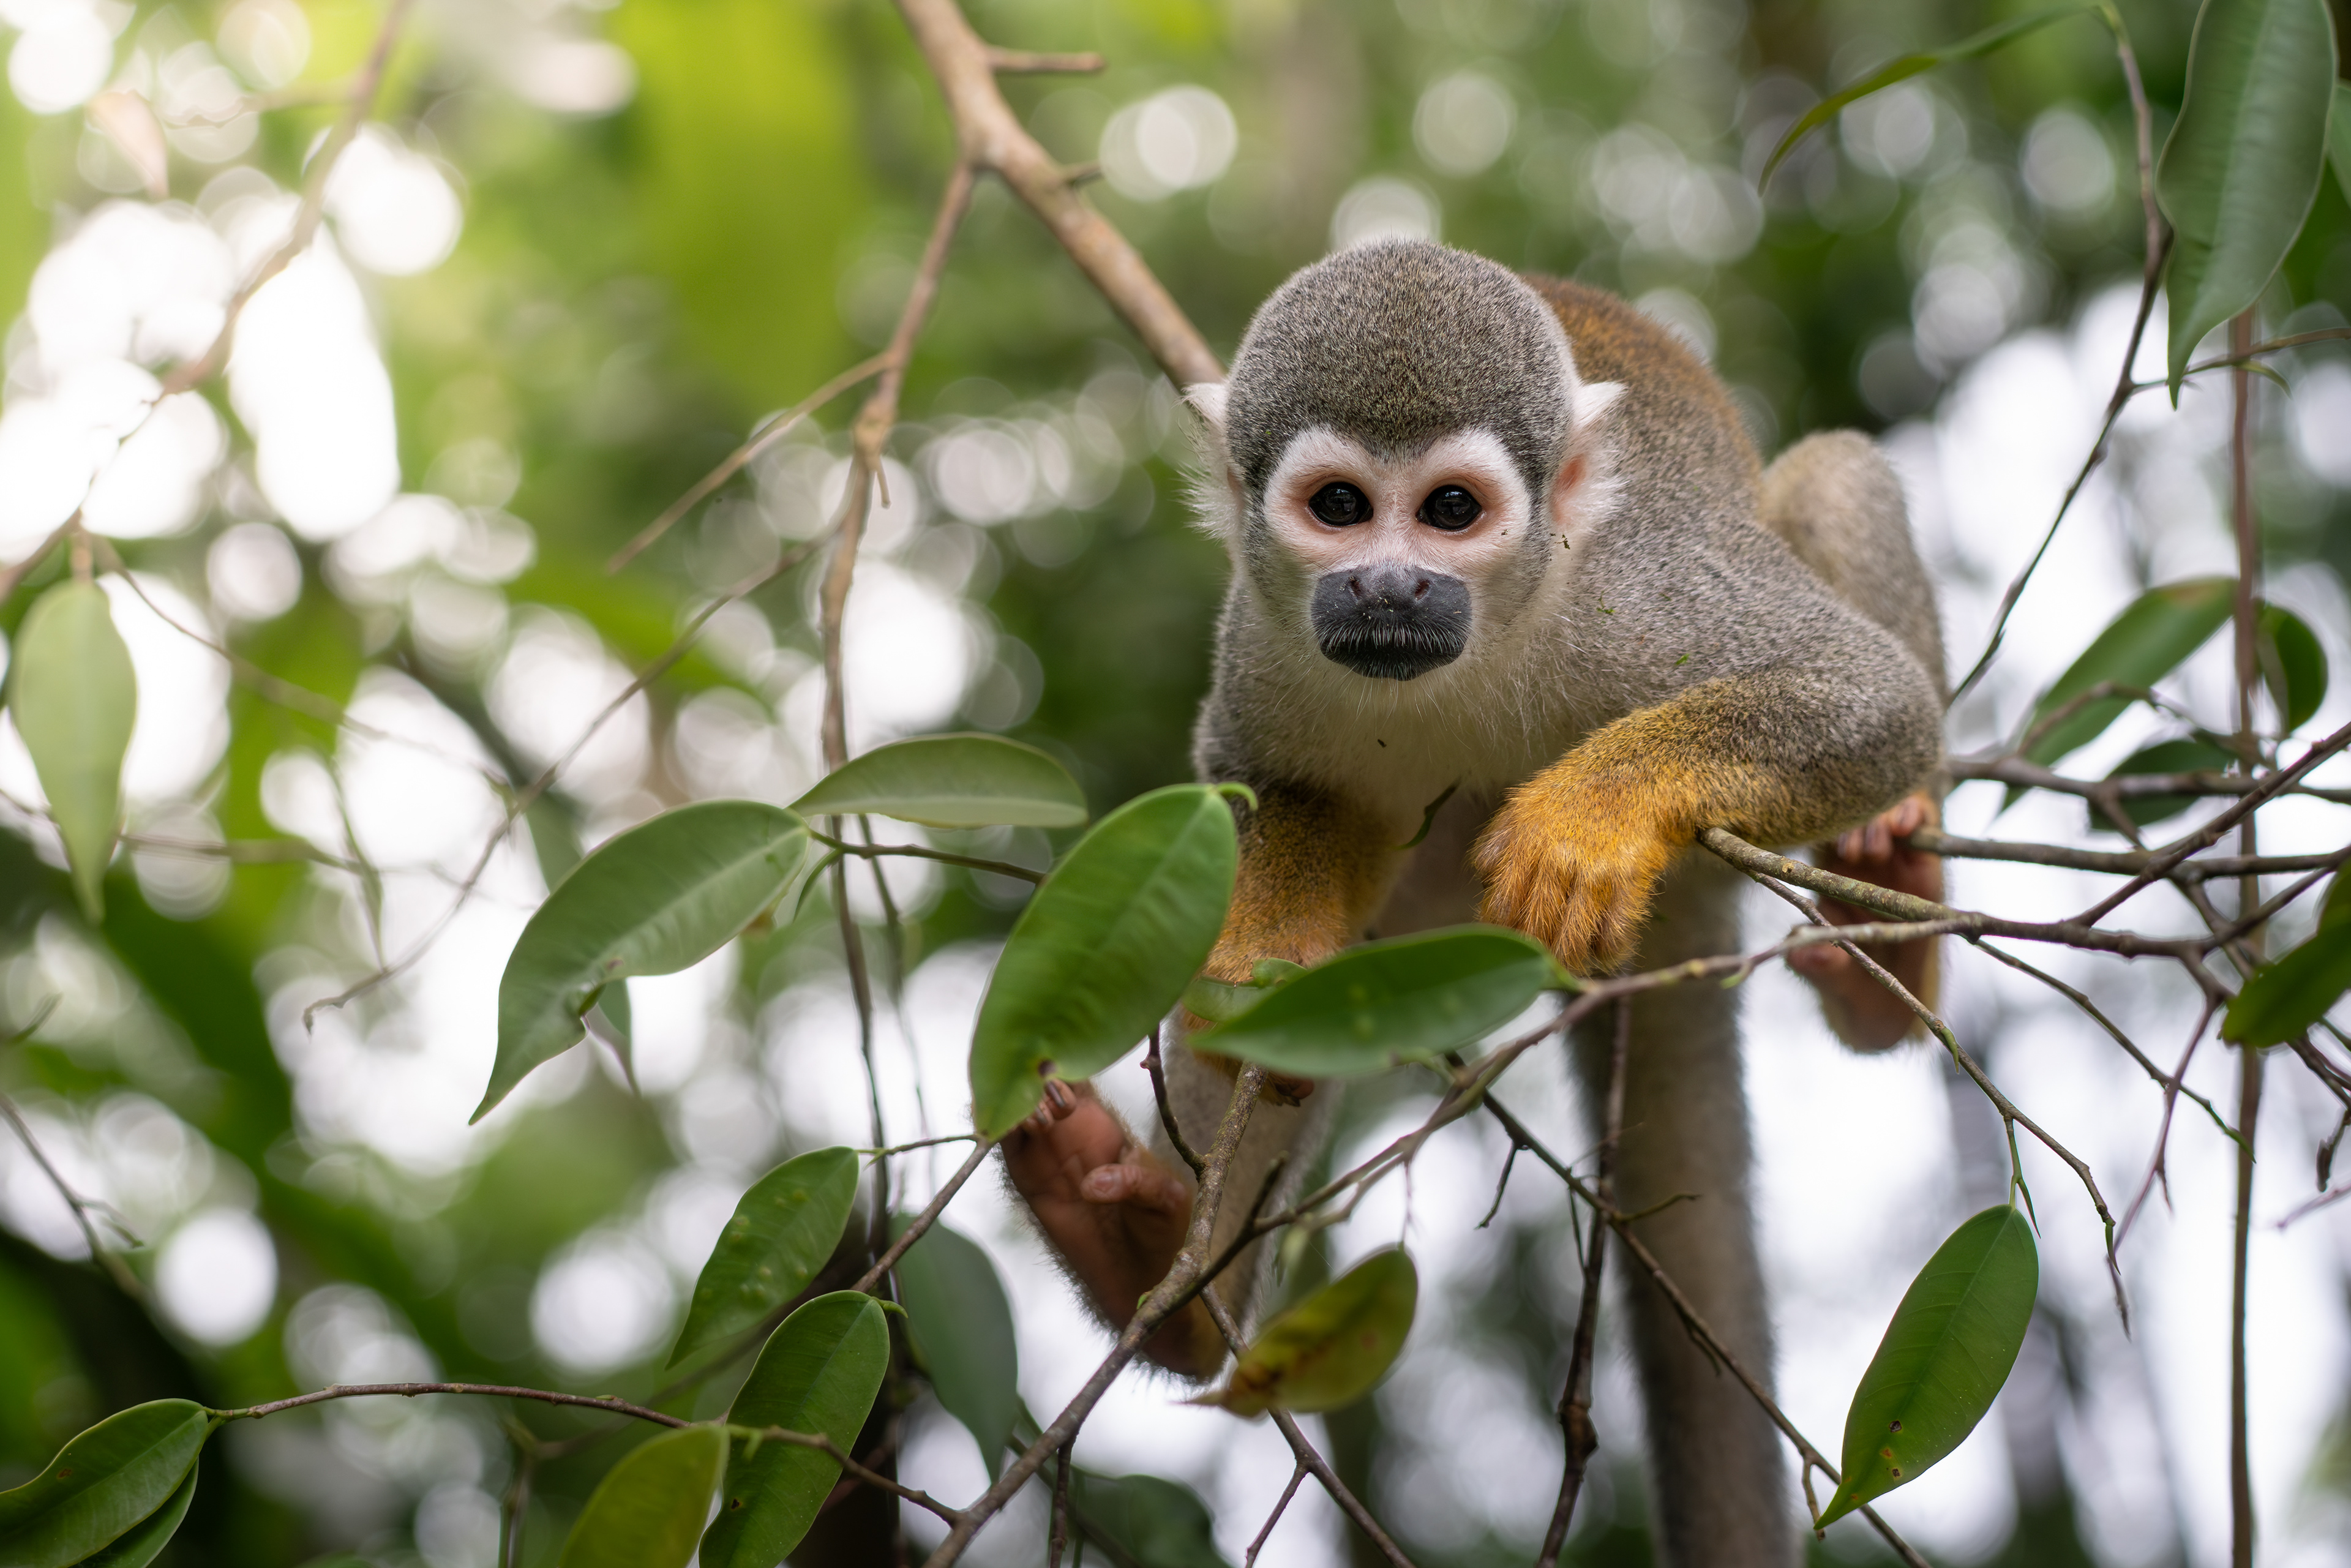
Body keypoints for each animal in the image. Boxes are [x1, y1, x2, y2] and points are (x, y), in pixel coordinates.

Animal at [1001, 239, 1947, 1566]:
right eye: (1341, 508)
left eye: (1451, 511)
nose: (1391, 588)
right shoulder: (1262, 639)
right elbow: (1263, 798)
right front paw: (1275, 941)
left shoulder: (1638, 585)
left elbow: (1872, 693)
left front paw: (1594, 814)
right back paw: (1165, 1277)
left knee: (1834, 477)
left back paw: (1888, 953)